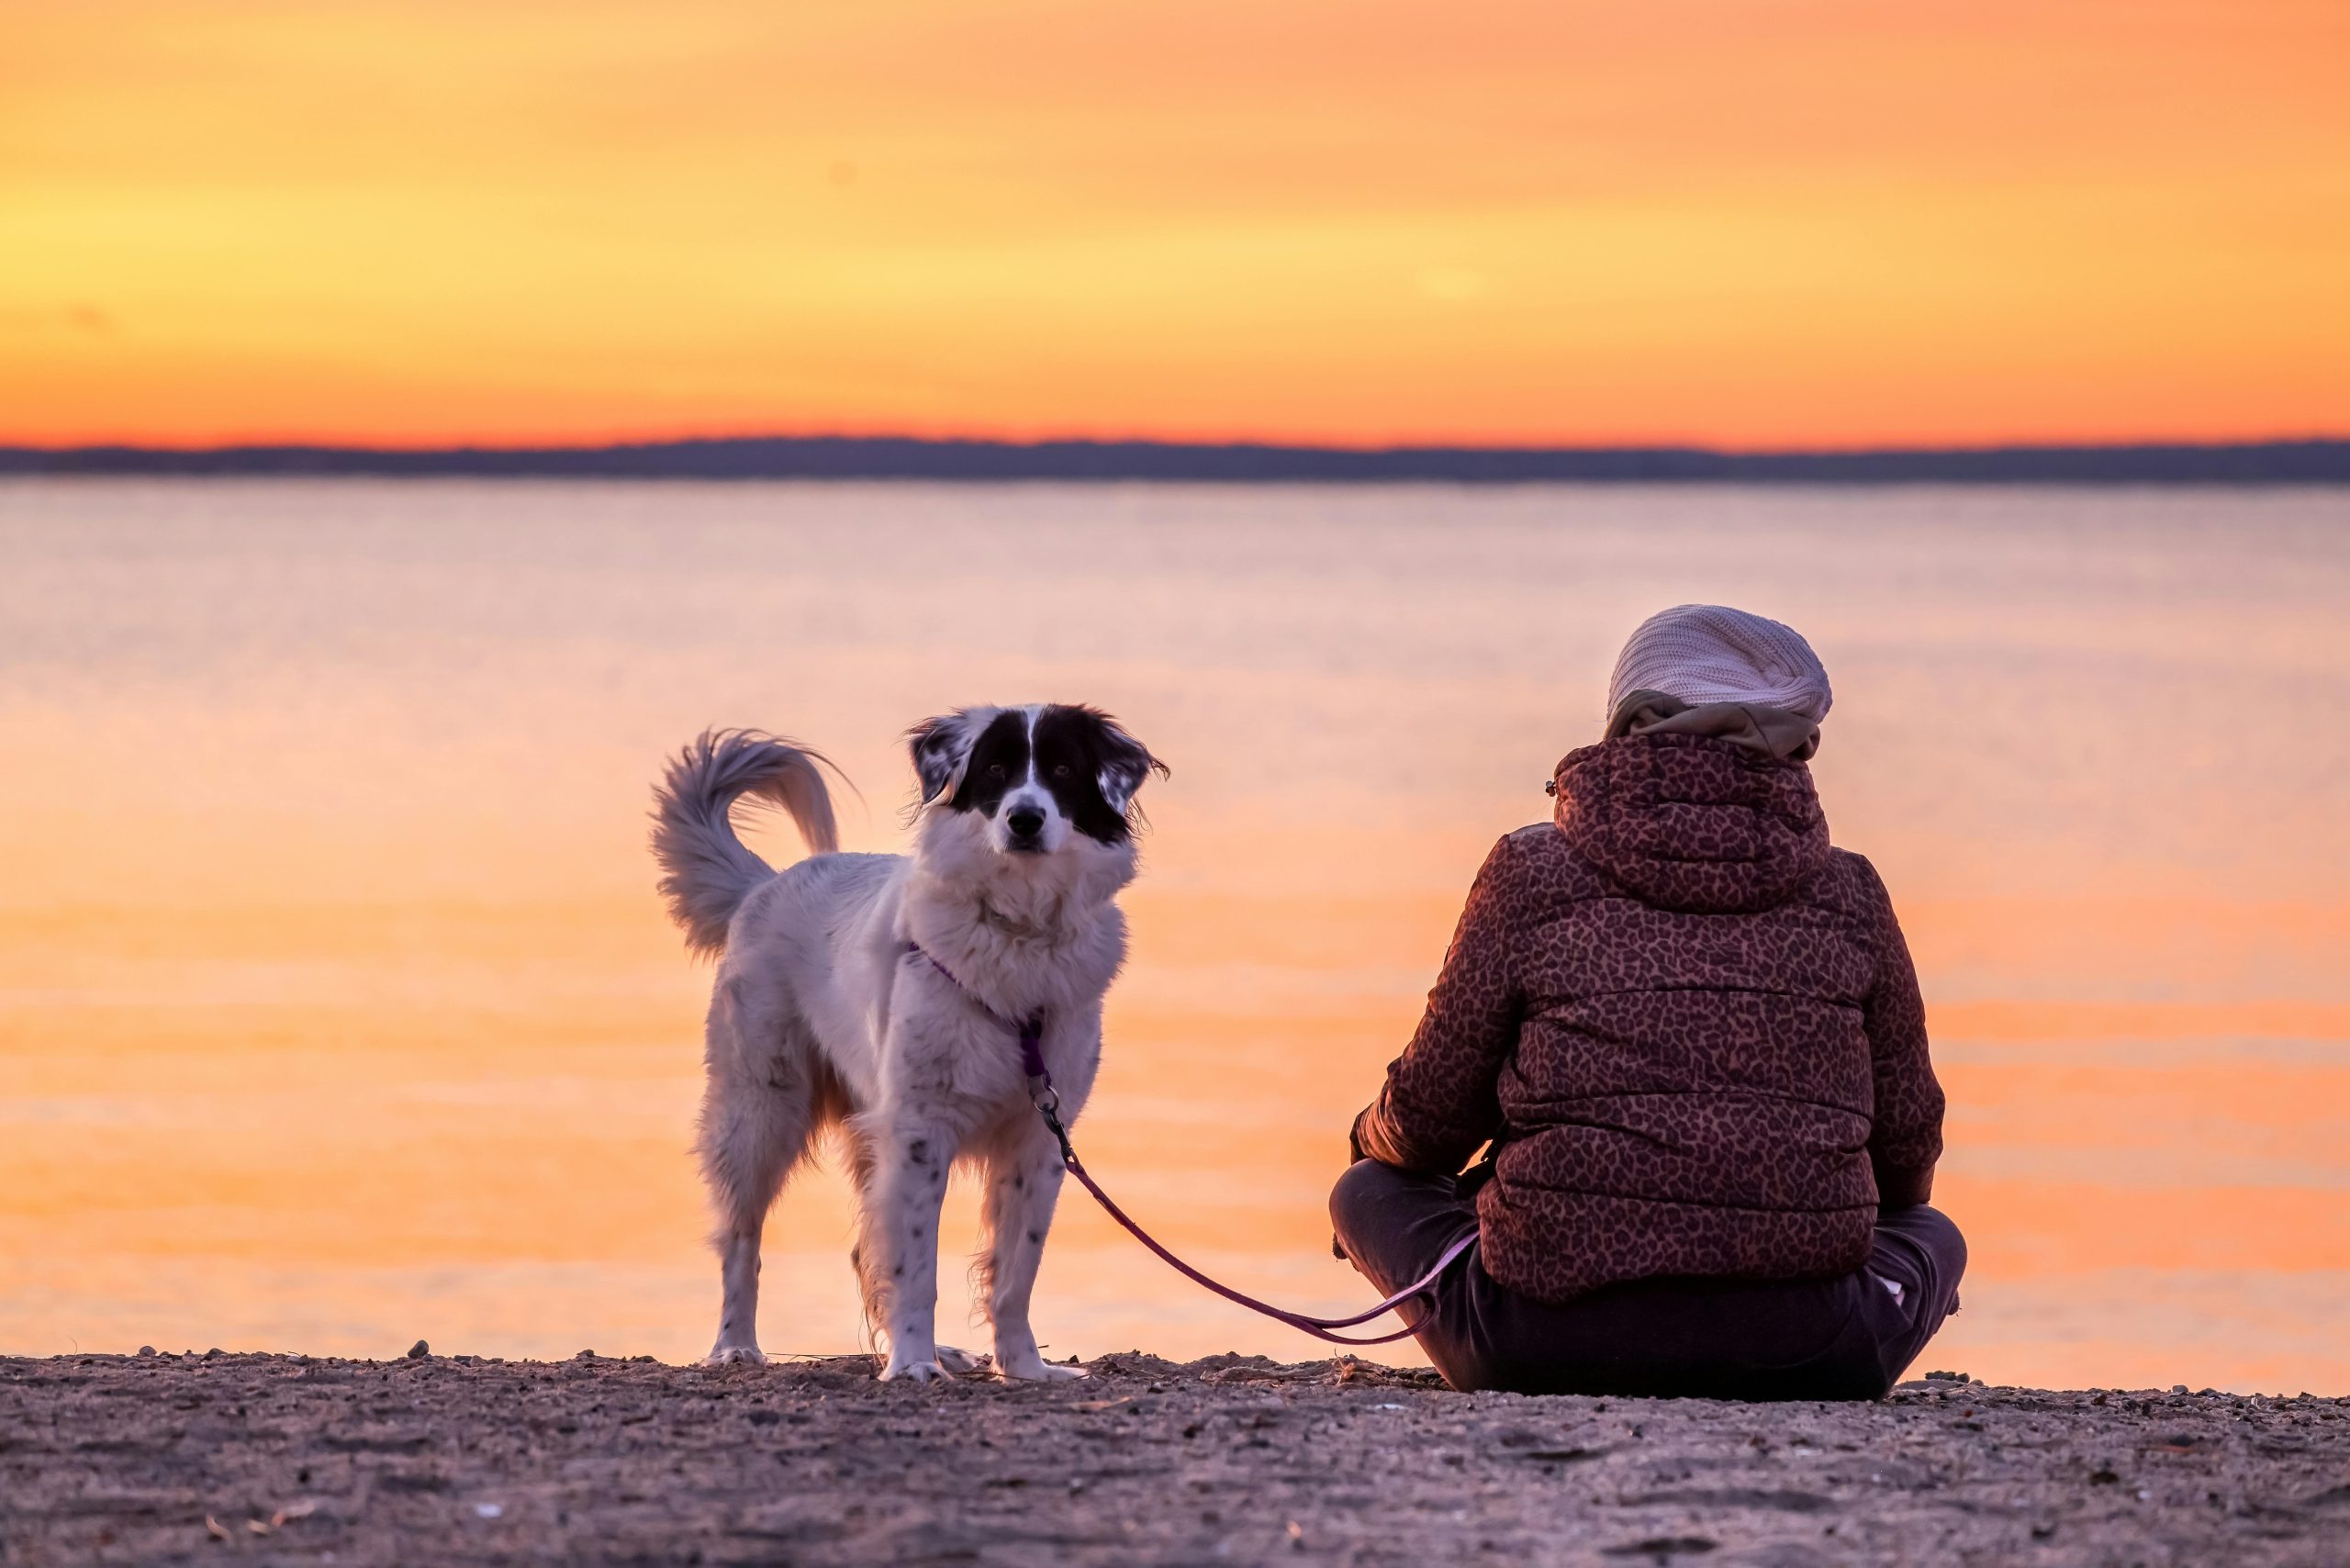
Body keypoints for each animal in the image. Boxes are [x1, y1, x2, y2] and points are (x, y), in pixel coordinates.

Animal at [648, 705, 1160, 1382]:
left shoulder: (1038, 1137)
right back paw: (736, 1346)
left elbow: (1015, 1270)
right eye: (995, 768)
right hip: (761, 1110)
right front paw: (914, 1364)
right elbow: (916, 1266)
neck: (1019, 933)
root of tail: (765, 884)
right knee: (742, 1239)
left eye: (1061, 769)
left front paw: (1023, 1367)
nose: (1024, 819)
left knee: (864, 1248)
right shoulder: (919, 1130)